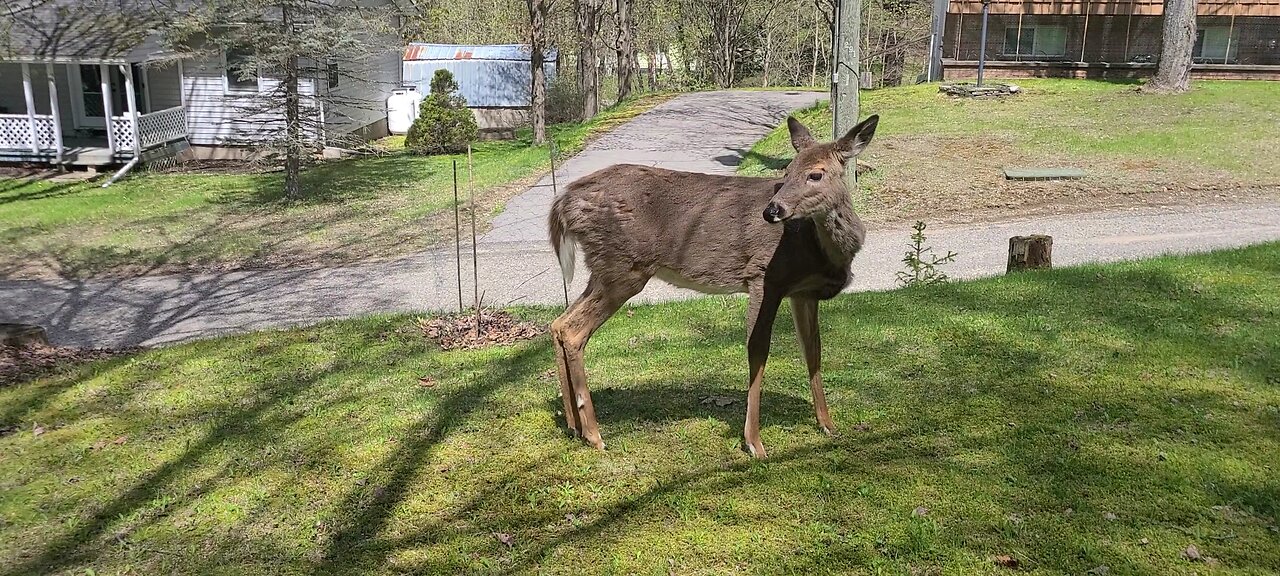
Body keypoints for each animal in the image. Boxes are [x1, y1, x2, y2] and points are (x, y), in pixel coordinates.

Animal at [545, 112, 875, 455]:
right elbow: (757, 350)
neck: (819, 248)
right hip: (622, 267)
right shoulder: (763, 276)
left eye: (815, 174)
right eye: (786, 172)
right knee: (573, 330)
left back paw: (573, 426)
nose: (772, 210)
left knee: (558, 323)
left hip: (602, 270)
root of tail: (563, 201)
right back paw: (594, 434)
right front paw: (754, 442)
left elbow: (813, 351)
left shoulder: (802, 292)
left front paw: (828, 425)